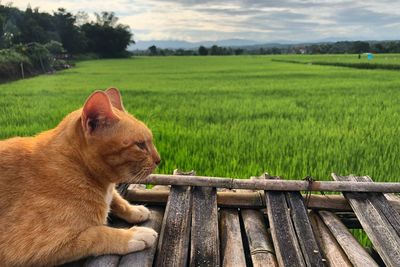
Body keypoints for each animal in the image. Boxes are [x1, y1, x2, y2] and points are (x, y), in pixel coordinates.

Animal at [0, 87, 161, 266]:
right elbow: (97, 233)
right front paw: (133, 235)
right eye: (140, 145)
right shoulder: (31, 249)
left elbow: (116, 198)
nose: (159, 160)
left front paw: (134, 209)